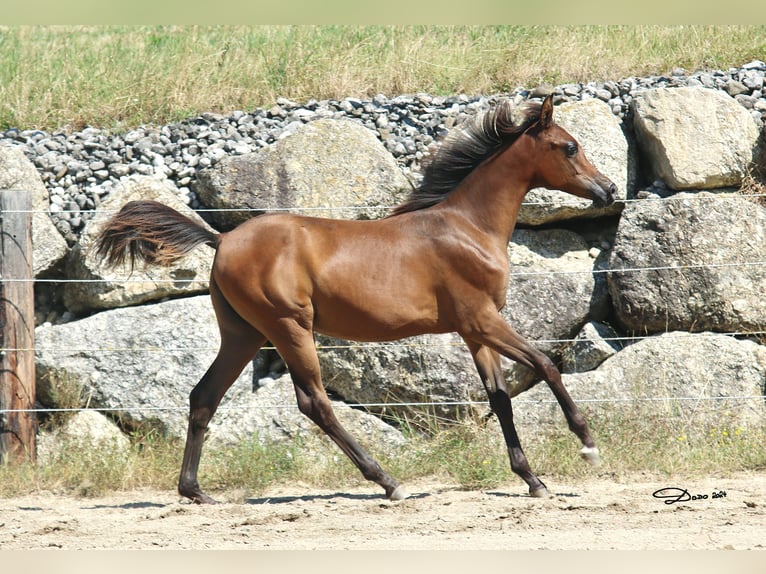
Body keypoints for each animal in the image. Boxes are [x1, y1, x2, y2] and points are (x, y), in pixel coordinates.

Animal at [94, 94, 616, 504]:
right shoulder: (483, 321)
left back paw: (196, 491)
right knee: (315, 403)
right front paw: (587, 444)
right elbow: (546, 365)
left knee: (204, 395)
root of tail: (221, 238)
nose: (609, 188)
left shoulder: (475, 332)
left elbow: (501, 398)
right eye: (569, 146)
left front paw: (532, 479)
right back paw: (388, 481)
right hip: (289, 328)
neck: (468, 227)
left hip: (244, 334)